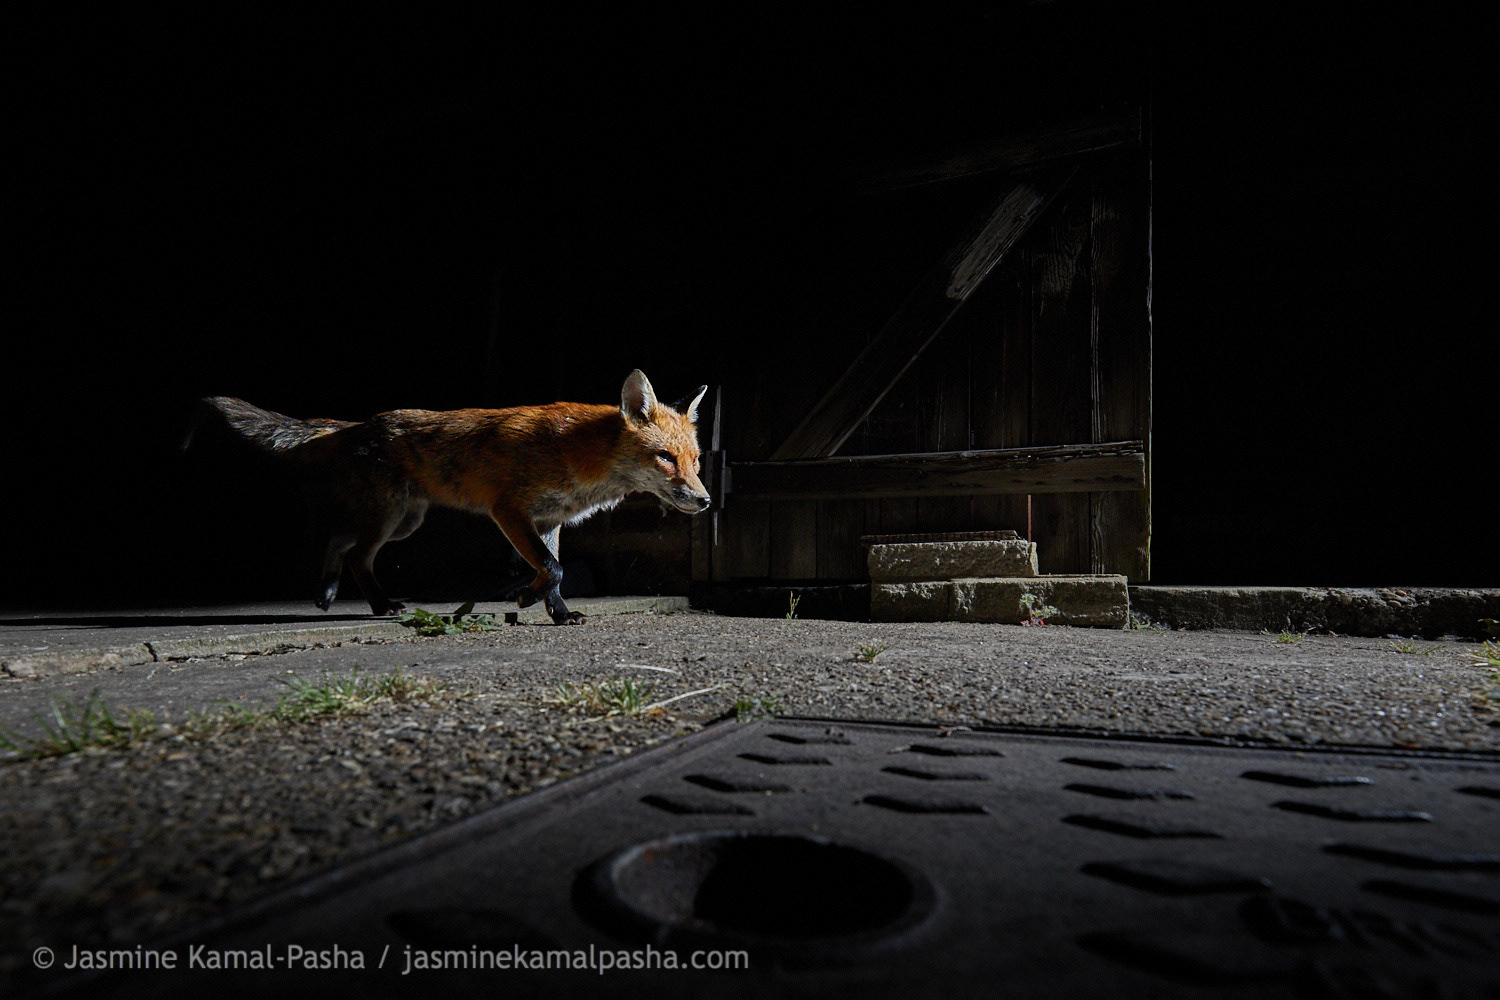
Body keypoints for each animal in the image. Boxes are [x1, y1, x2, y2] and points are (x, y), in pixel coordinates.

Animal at [188, 370, 710, 624]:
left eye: (697, 460)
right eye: (666, 458)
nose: (706, 502)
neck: (581, 455)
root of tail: (360, 424)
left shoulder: (548, 521)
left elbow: (555, 574)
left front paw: (558, 614)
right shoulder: (509, 512)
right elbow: (553, 569)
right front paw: (524, 597)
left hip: (404, 522)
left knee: (339, 540)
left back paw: (328, 593)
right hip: (391, 518)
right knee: (356, 554)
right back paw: (380, 605)